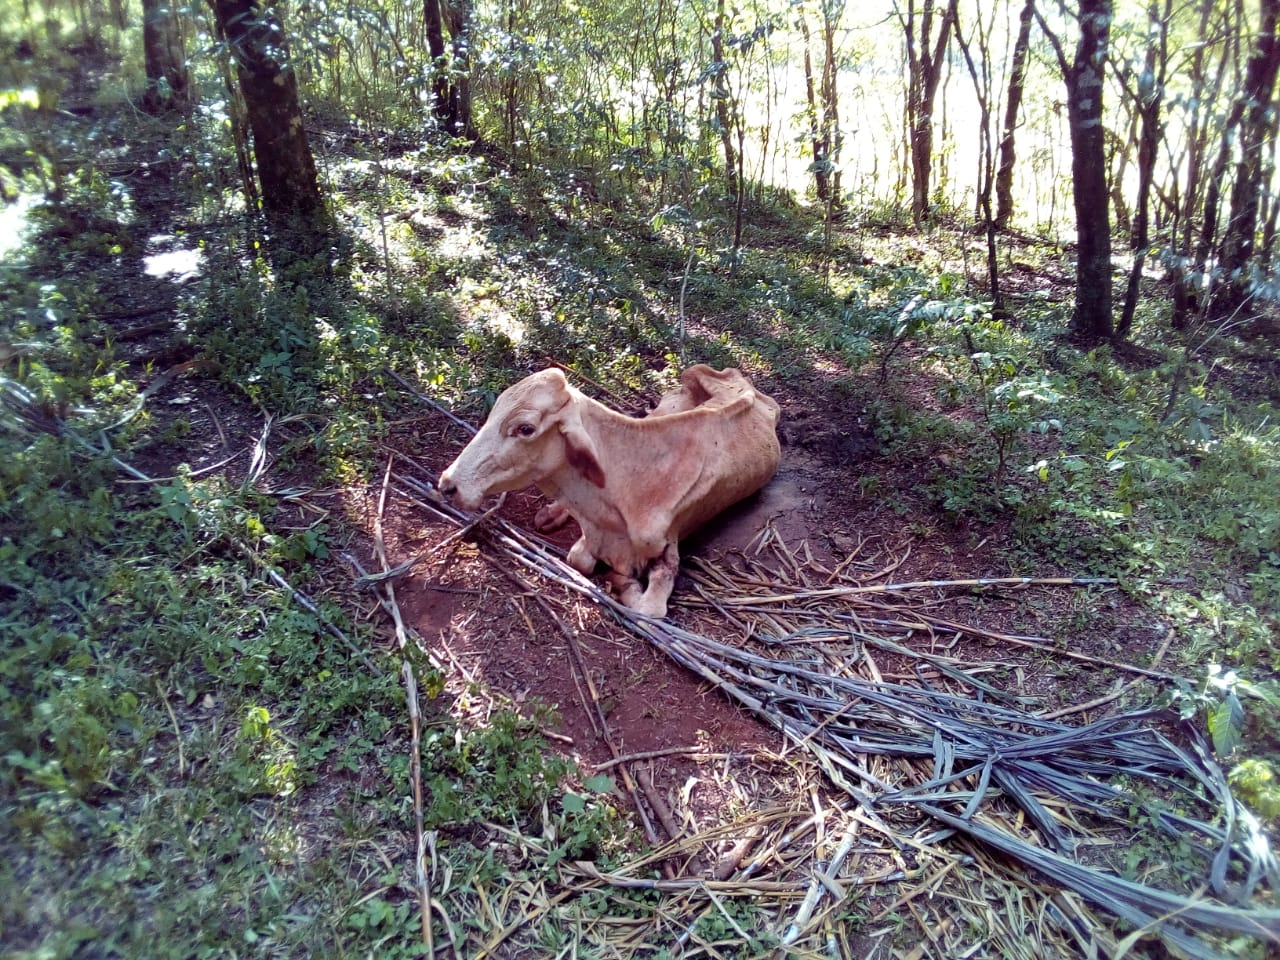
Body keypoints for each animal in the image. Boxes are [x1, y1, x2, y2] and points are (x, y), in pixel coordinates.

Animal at [437, 363, 778, 619]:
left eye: (525, 428)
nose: (448, 484)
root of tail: (742, 380)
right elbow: (579, 559)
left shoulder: (666, 548)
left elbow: (648, 609)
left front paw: (619, 581)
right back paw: (550, 514)